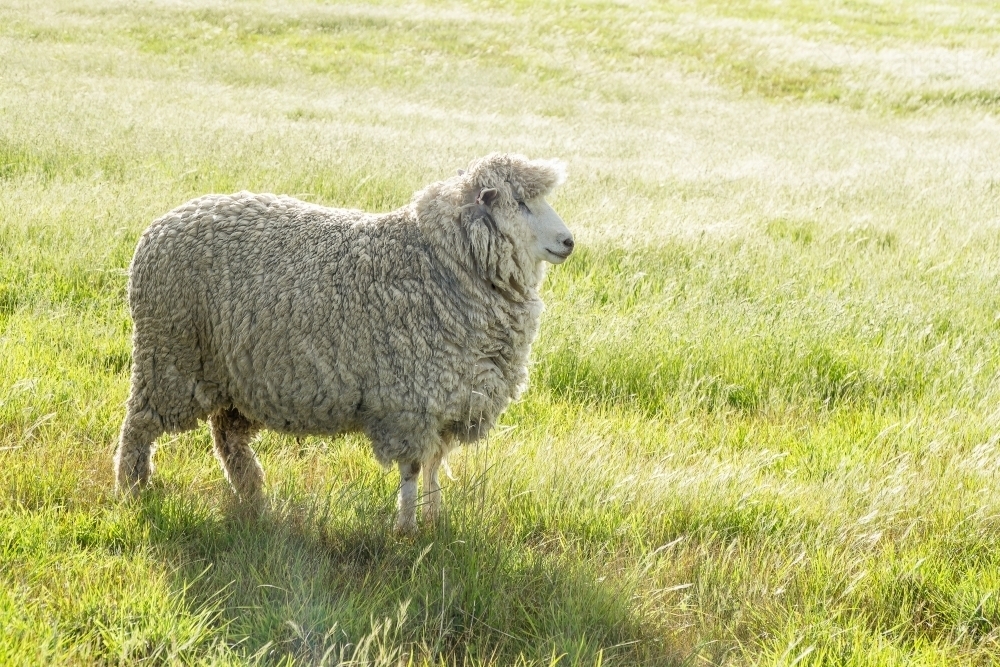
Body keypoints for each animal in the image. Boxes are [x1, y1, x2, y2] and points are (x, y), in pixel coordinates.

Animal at [114, 153, 574, 533]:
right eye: (520, 203)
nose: (569, 241)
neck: (439, 261)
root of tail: (160, 225)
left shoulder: (449, 400)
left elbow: (433, 467)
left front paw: (434, 520)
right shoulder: (408, 402)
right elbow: (412, 469)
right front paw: (406, 531)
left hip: (238, 376)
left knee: (227, 437)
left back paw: (253, 497)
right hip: (169, 354)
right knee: (138, 426)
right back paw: (131, 490)